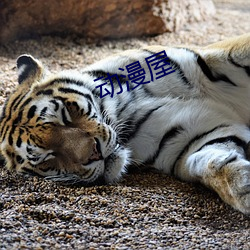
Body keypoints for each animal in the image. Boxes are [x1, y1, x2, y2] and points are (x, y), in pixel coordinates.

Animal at [0, 32, 250, 214]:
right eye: (48, 157)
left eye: (65, 115)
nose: (95, 153)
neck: (123, 108)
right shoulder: (187, 137)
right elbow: (210, 161)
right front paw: (243, 188)